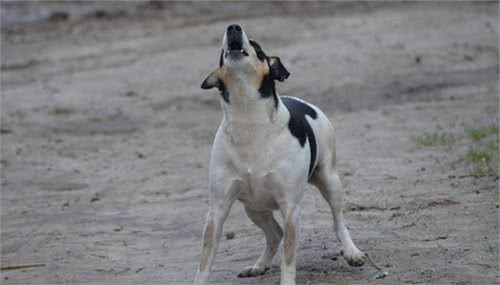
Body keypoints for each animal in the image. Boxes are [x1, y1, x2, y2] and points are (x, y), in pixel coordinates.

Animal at [193, 24, 366, 284]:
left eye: (257, 47)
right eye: (221, 52)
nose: (233, 27)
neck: (249, 120)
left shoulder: (291, 208)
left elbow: (289, 257)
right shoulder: (217, 210)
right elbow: (205, 261)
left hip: (330, 181)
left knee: (338, 221)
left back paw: (351, 251)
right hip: (254, 208)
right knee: (275, 233)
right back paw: (259, 266)